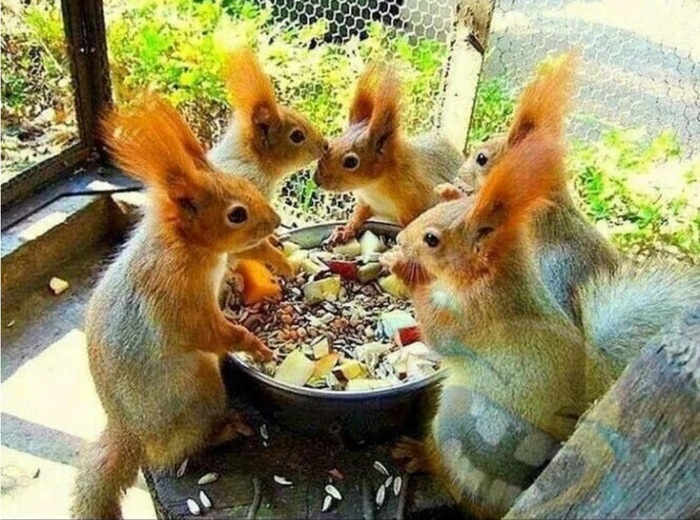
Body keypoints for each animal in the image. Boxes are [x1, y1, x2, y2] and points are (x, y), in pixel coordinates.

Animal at [71, 96, 276, 519]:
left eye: (248, 184)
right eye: (236, 214)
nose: (277, 221)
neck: (185, 246)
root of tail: (130, 434)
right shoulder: (177, 297)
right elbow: (210, 332)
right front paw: (255, 345)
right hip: (201, 391)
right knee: (181, 448)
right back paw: (226, 430)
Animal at [208, 48, 328, 278]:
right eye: (297, 136)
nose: (326, 145)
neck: (254, 160)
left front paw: (274, 239)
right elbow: (250, 245)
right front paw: (283, 263)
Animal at [314, 62, 463, 244]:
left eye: (351, 162)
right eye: (332, 143)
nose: (317, 180)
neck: (375, 186)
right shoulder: (367, 202)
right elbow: (359, 215)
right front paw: (344, 231)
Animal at [384, 126, 700, 518]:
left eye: (432, 240)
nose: (399, 238)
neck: (492, 278)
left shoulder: (477, 316)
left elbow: (439, 334)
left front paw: (403, 270)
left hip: (475, 429)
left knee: (462, 481)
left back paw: (423, 456)